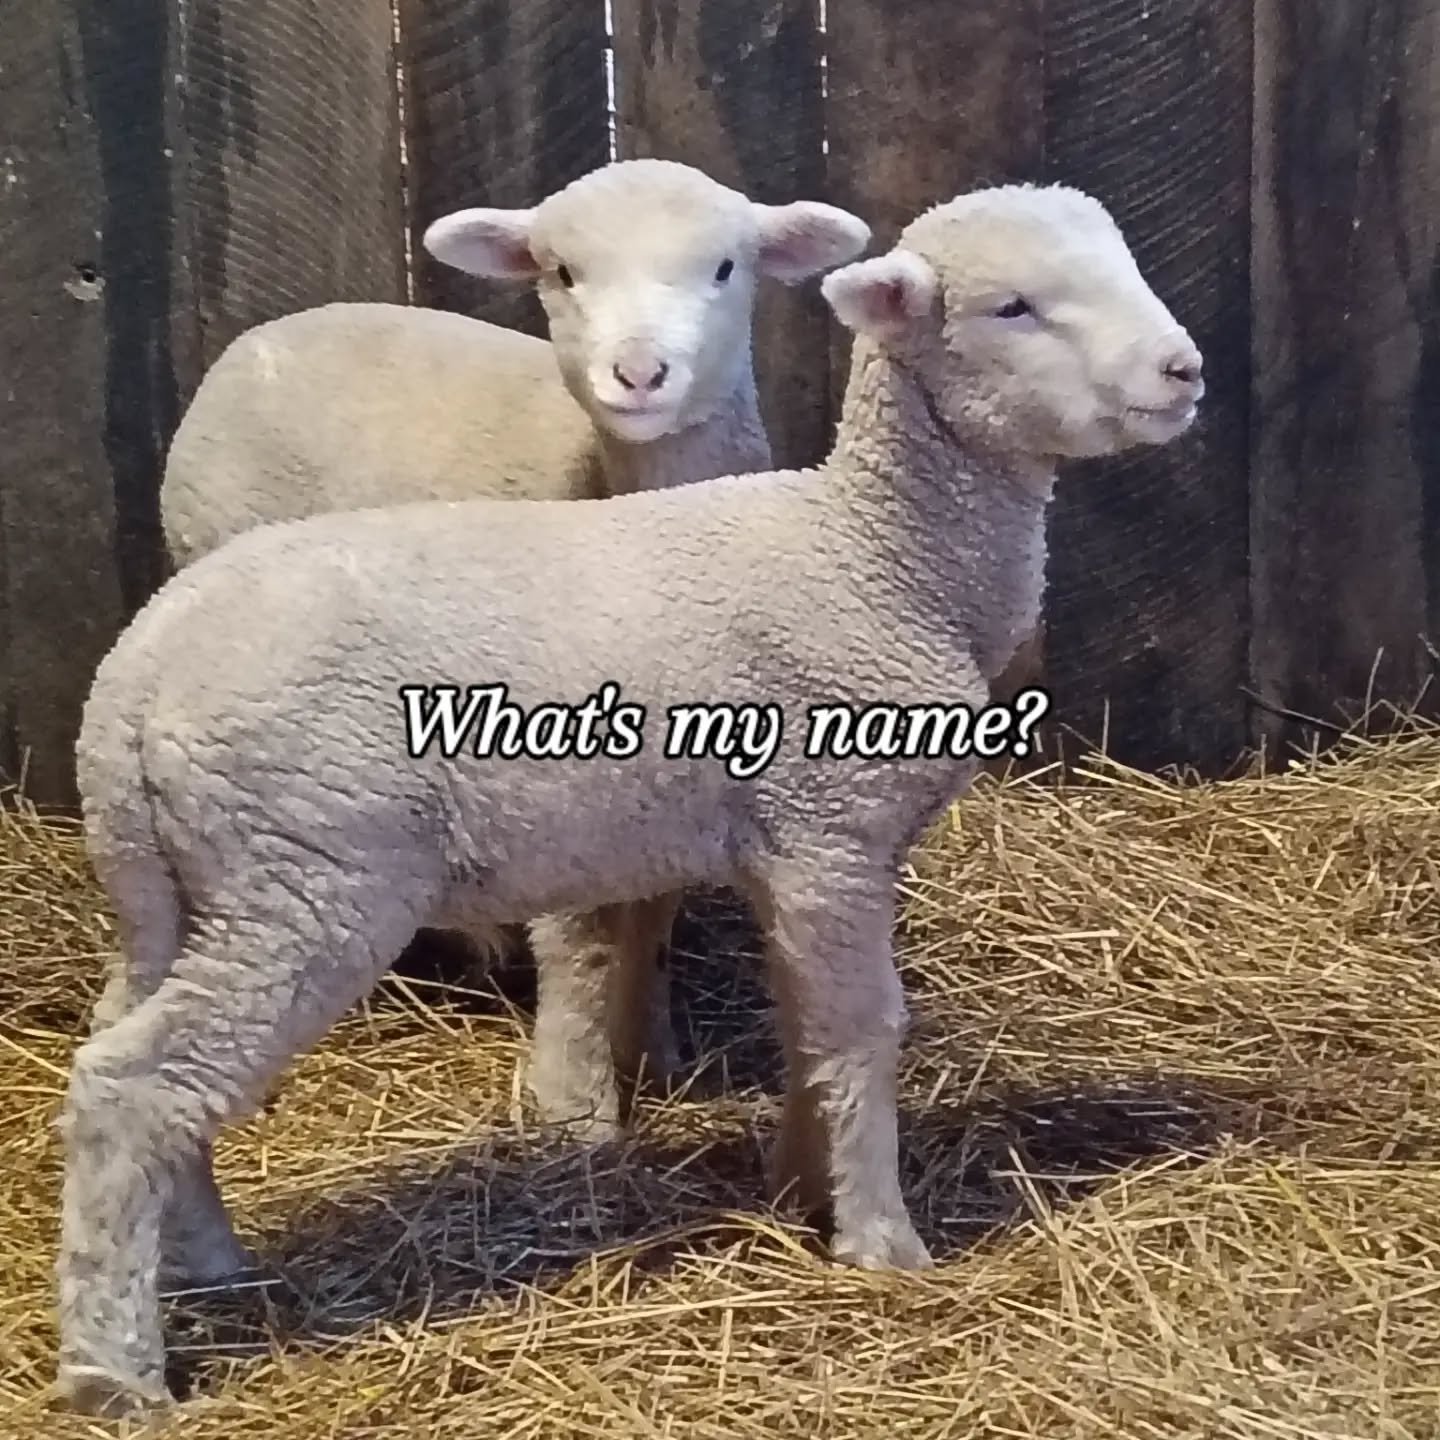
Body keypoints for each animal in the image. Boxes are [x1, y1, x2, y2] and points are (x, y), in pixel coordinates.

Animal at [159, 156, 872, 1134]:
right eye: (561, 272)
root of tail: (266, 335)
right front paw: (577, 1103)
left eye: (727, 268)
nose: (639, 372)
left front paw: (652, 1052)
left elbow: (654, 909)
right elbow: (579, 933)